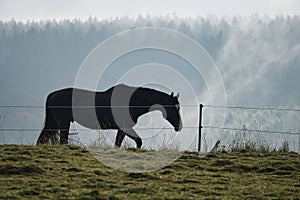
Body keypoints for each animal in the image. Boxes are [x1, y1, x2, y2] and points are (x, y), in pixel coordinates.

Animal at [37, 83, 183, 148]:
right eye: (175, 107)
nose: (180, 126)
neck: (132, 102)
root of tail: (51, 95)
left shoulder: (122, 129)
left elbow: (119, 143)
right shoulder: (125, 127)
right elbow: (138, 141)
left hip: (54, 123)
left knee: (43, 139)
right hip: (63, 123)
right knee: (62, 140)